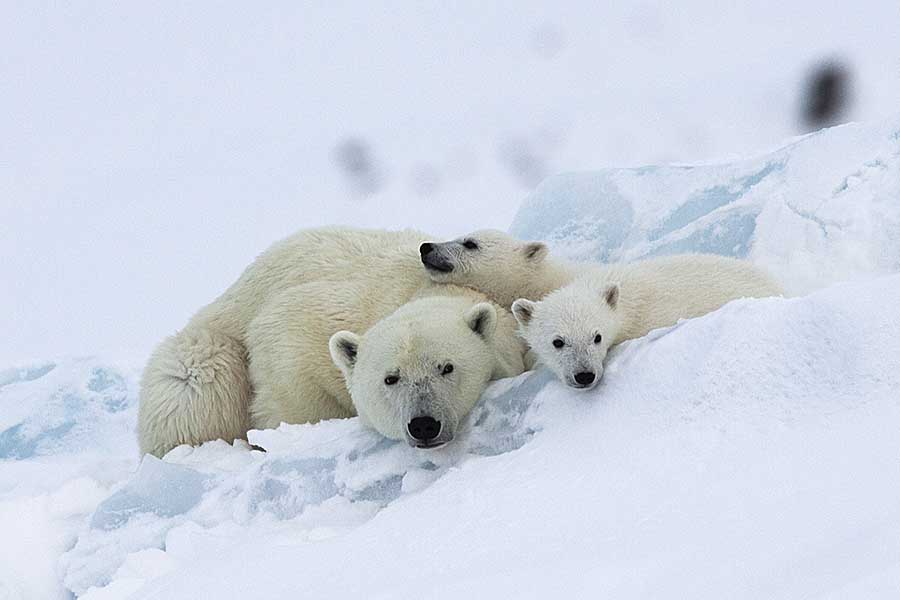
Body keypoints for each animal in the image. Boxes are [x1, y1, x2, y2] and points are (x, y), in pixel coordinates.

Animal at [137, 227, 544, 458]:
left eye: (447, 367)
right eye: (390, 378)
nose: (424, 425)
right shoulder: (299, 331)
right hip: (211, 350)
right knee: (189, 390)